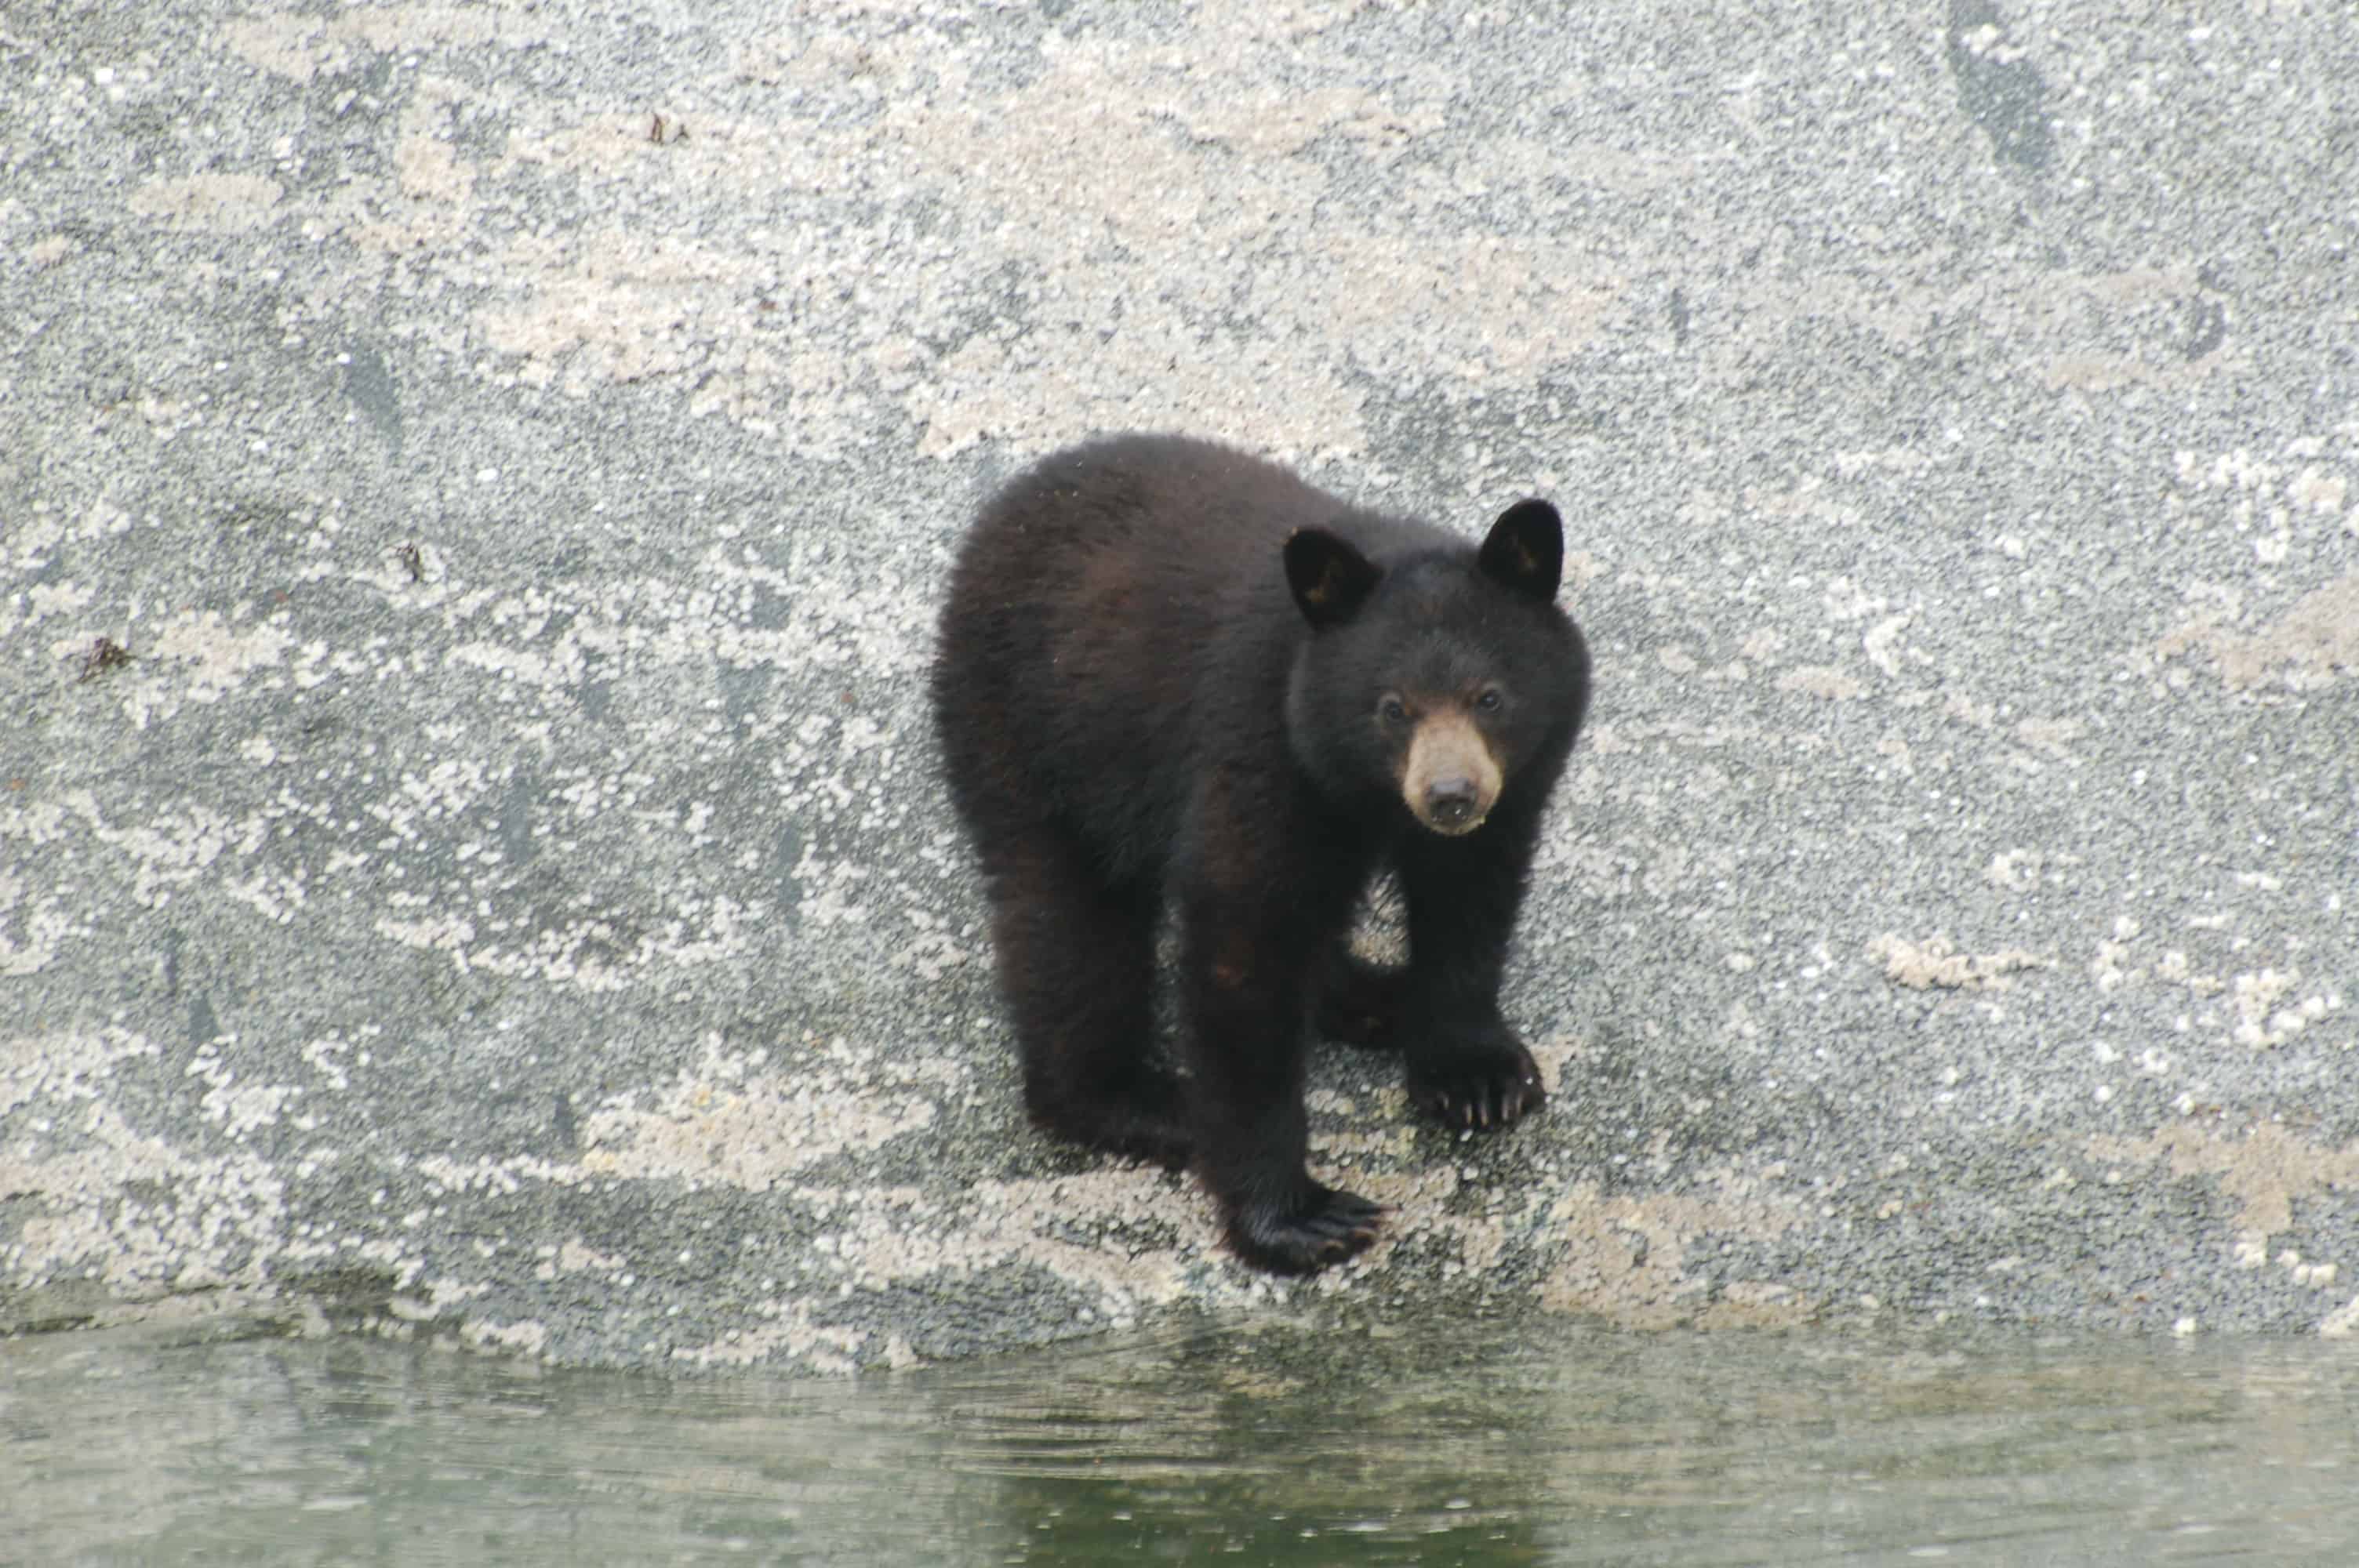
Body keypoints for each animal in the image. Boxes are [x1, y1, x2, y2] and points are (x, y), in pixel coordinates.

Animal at [932, 434, 1590, 1275]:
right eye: (1392, 708)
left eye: (1490, 697)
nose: (1450, 796)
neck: (1362, 790)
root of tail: (996, 519)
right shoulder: (1257, 745)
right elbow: (1244, 948)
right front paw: (1300, 1216)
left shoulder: (1513, 792)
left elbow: (1471, 904)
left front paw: (1477, 1076)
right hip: (1035, 738)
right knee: (1068, 927)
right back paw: (1140, 1099)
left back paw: (1375, 996)